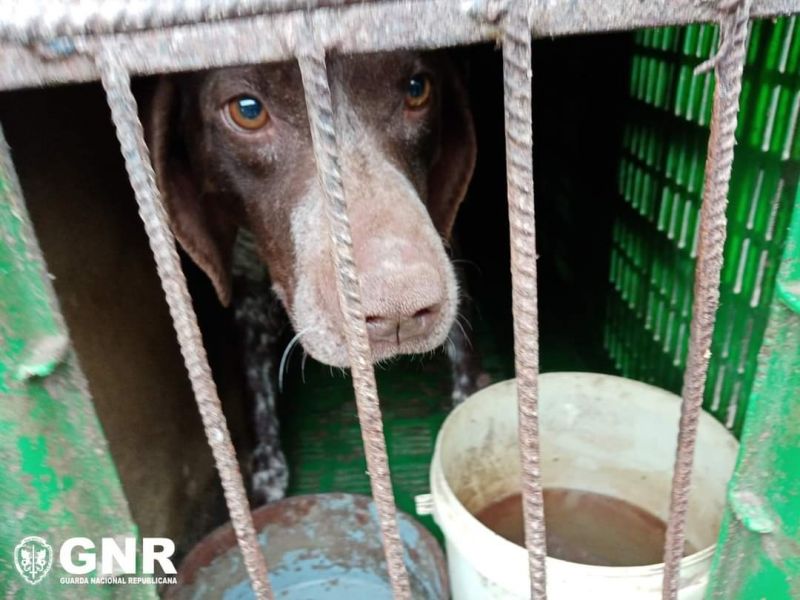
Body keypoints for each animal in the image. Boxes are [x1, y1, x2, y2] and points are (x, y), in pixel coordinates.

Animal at [148, 50, 488, 506]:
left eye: (418, 89)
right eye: (247, 110)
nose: (397, 312)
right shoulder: (248, 291)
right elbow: (256, 384)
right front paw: (267, 476)